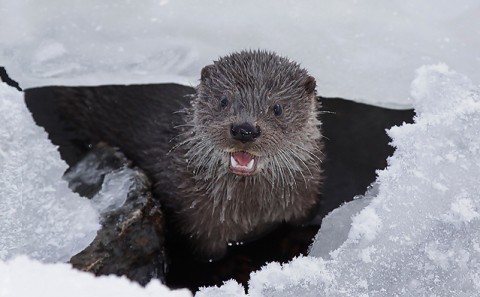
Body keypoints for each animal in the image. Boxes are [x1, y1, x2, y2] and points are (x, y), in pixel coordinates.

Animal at [54, 50, 324, 256]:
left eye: (277, 107)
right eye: (223, 100)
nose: (245, 129)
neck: (253, 212)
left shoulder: (304, 202)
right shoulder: (199, 226)